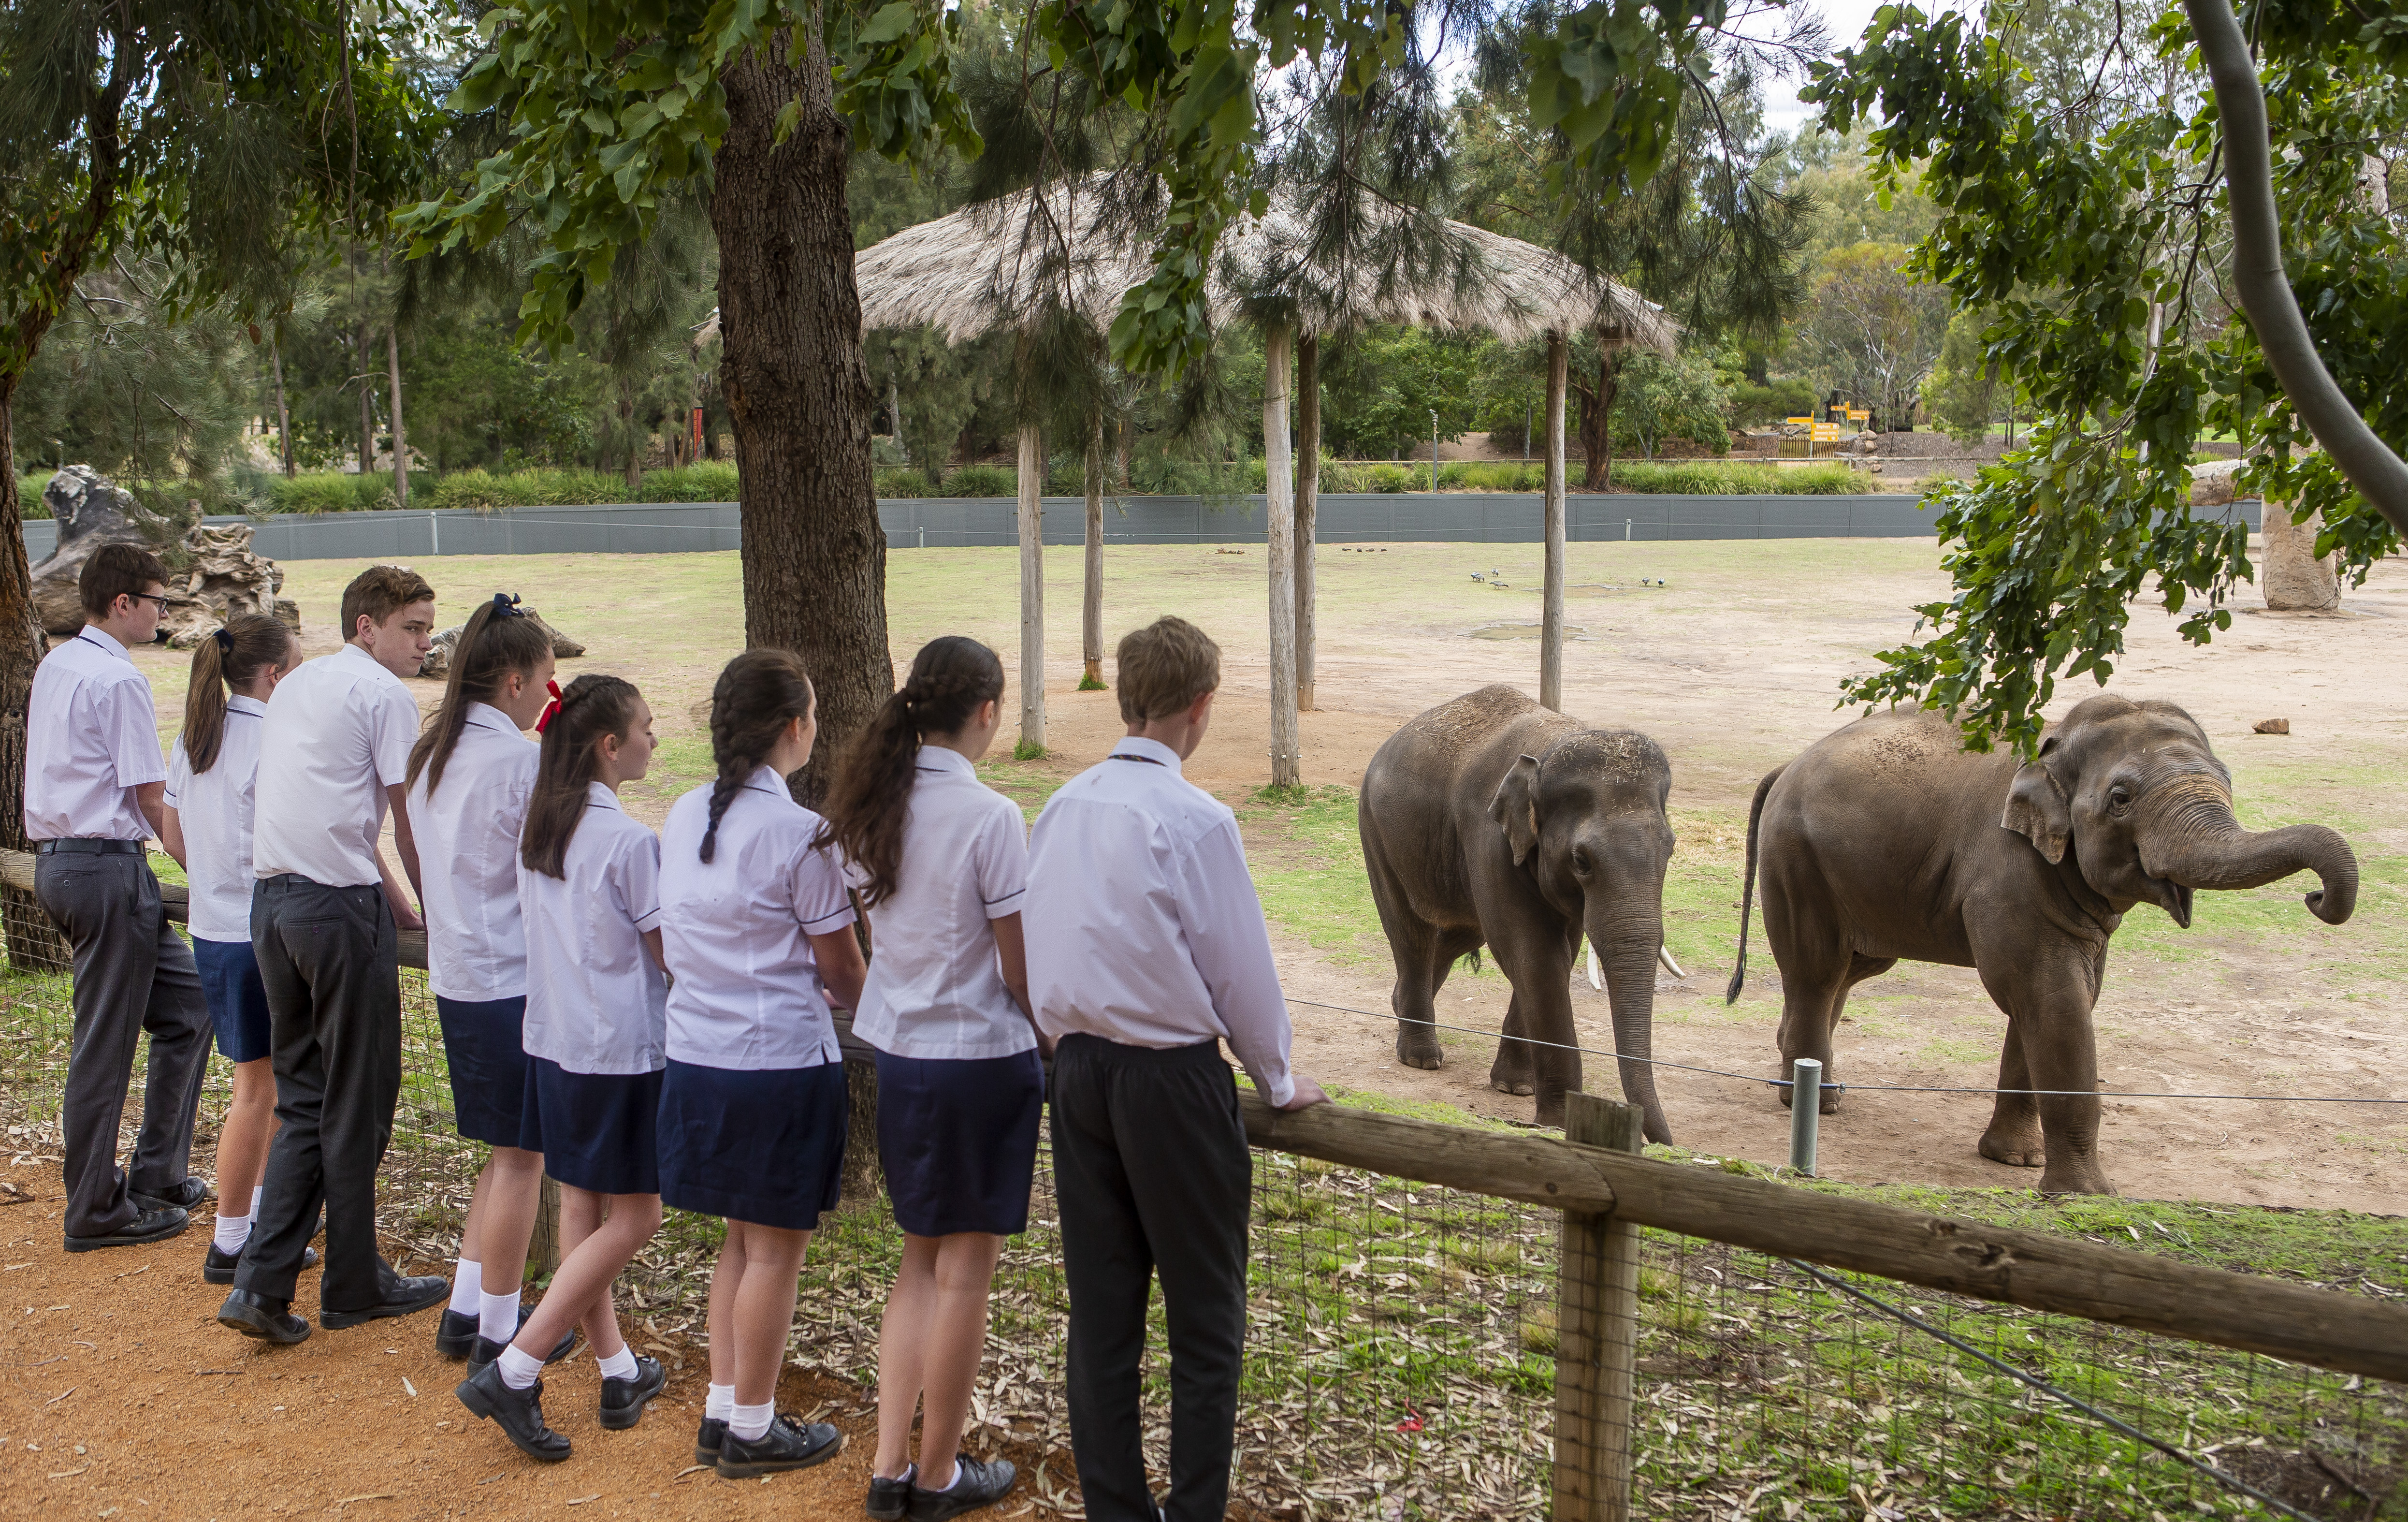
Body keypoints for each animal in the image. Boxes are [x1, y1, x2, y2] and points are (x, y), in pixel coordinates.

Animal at [1359, 685, 1679, 1139]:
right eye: (1581, 861)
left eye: (1671, 849)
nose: (1664, 1145)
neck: (1554, 747)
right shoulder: (1489, 836)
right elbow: (1534, 955)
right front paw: (1557, 1122)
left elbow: (1558, 951)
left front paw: (1516, 1088)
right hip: (1376, 831)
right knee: (1410, 932)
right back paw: (1421, 1059)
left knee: (1462, 931)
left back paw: (1397, 1005)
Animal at [1727, 695, 2358, 1195]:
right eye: (2120, 798)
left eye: (2227, 780)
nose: (2315, 896)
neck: (2054, 742)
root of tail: (1786, 764)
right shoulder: (2006, 867)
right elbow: (2048, 998)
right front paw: (2085, 1194)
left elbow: (2053, 1001)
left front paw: (2014, 1159)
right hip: (1795, 859)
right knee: (1817, 969)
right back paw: (1813, 1101)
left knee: (1851, 969)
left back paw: (1802, 1075)